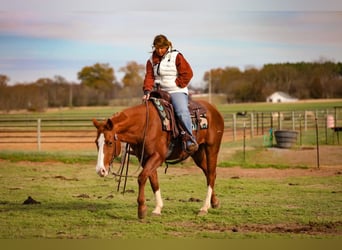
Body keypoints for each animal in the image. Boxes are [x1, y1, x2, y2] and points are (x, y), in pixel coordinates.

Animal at [92, 98, 224, 220]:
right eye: (96, 142)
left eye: (109, 142)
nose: (100, 170)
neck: (145, 126)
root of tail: (213, 109)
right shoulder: (146, 159)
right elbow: (153, 181)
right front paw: (157, 209)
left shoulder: (157, 156)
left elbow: (142, 178)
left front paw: (141, 209)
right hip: (197, 153)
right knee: (208, 173)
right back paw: (214, 202)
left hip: (212, 148)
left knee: (211, 174)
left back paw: (204, 207)